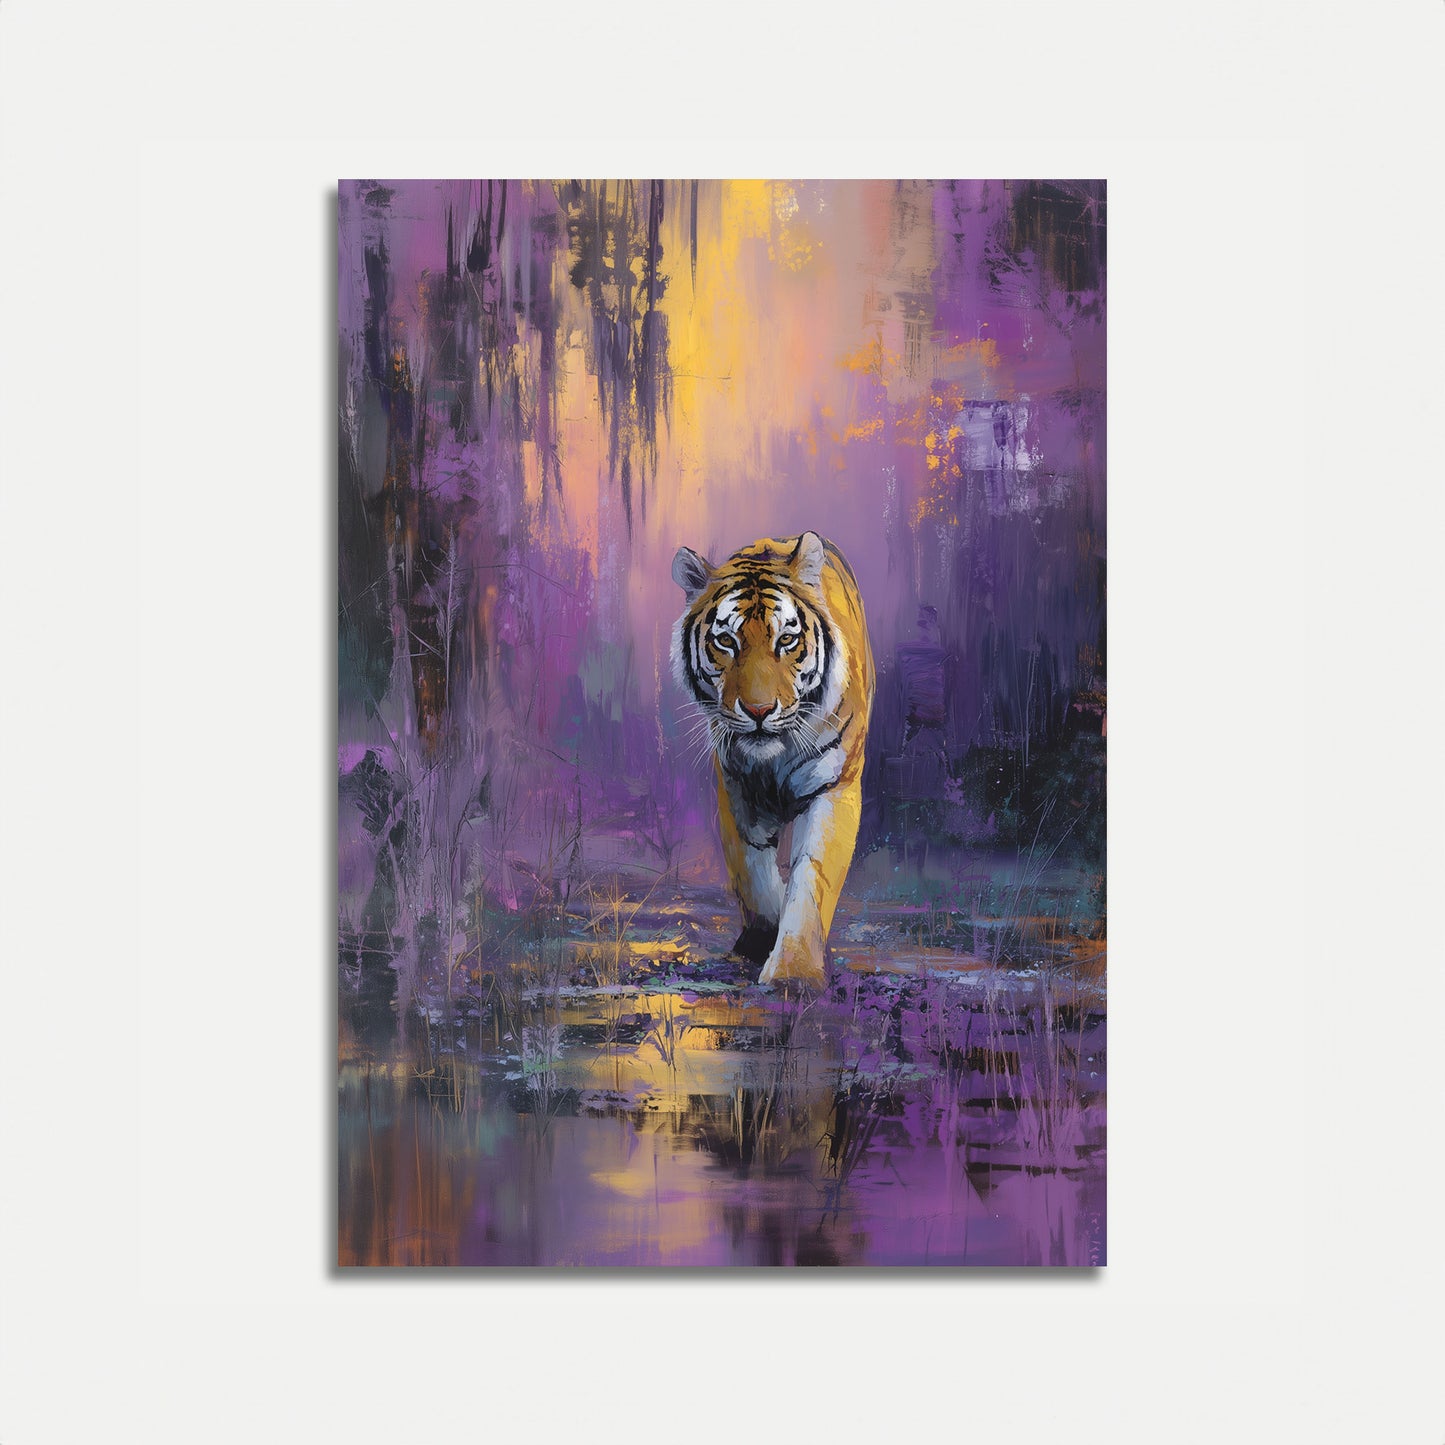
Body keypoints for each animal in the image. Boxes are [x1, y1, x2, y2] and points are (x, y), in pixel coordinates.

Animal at [671, 531, 875, 986]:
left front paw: (794, 974)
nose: (759, 711)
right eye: (726, 641)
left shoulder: (833, 788)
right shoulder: (735, 790)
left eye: (786, 640)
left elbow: (810, 878)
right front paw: (760, 943)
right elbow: (755, 877)